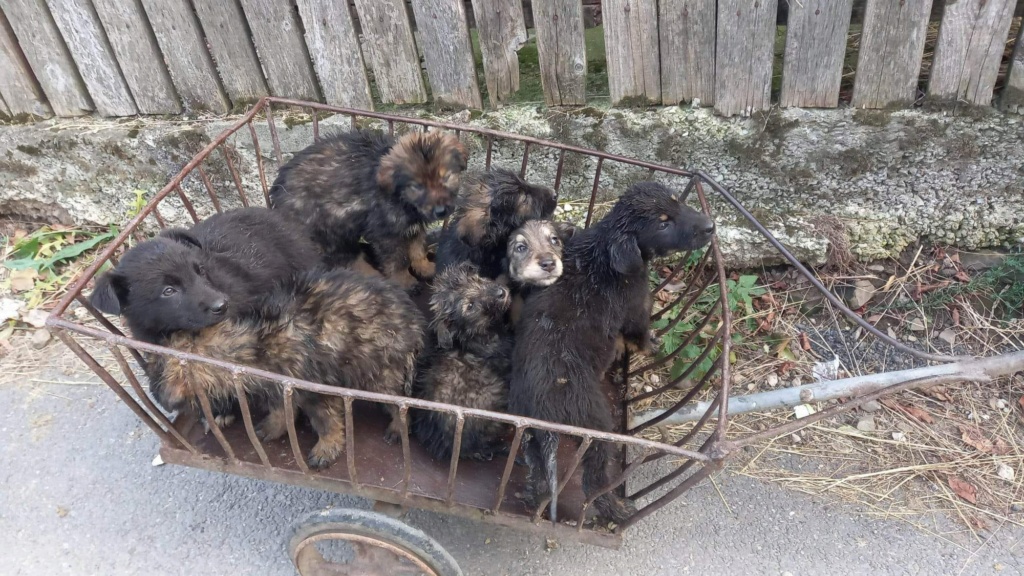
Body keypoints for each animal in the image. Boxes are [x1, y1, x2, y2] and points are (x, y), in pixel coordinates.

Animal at [146, 266, 425, 469]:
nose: (158, 396)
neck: (252, 347)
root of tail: (414, 320)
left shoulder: (317, 390)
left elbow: (327, 423)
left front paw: (326, 448)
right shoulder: (281, 387)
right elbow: (281, 408)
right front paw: (274, 426)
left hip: (382, 370)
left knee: (399, 403)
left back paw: (398, 427)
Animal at [270, 129, 466, 286]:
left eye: (447, 177)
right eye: (417, 186)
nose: (441, 211)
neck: (401, 198)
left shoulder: (412, 225)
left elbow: (417, 249)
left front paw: (425, 268)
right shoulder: (385, 233)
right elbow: (398, 260)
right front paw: (405, 282)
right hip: (330, 228)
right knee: (348, 259)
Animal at [507, 181, 716, 522]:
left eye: (677, 201)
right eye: (662, 224)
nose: (711, 226)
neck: (606, 248)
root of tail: (546, 413)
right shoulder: (637, 310)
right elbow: (639, 334)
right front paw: (649, 346)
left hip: (532, 439)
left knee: (538, 477)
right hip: (597, 430)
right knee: (594, 482)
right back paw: (616, 508)